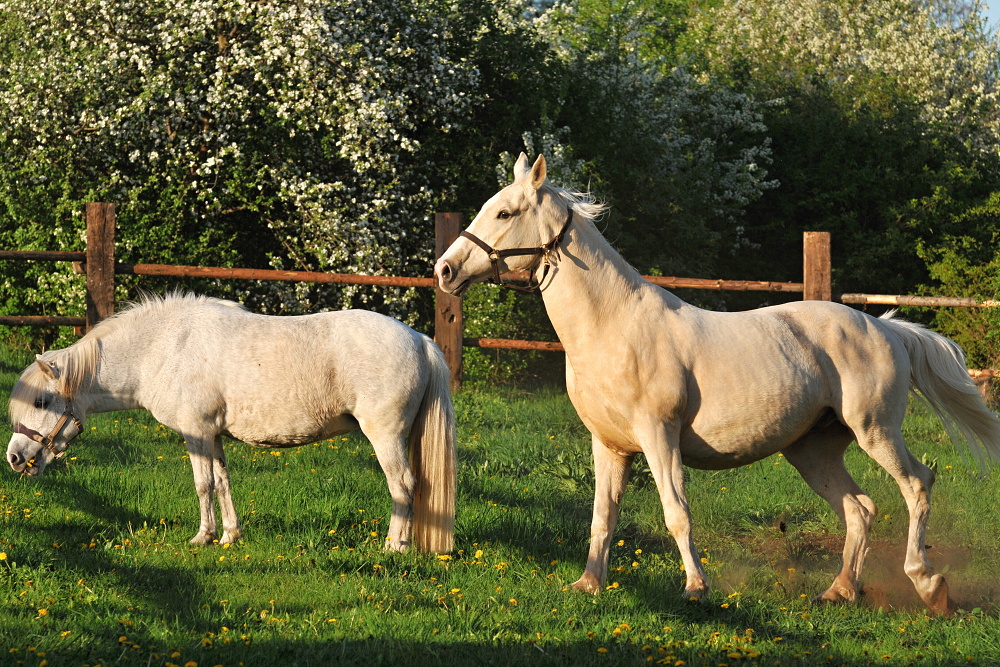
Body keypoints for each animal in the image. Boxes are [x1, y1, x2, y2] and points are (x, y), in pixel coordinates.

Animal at [4, 294, 454, 552]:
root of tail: (420, 339)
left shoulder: (196, 432)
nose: (14, 457)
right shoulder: (213, 435)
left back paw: (395, 547)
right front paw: (229, 536)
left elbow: (202, 484)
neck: (162, 349)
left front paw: (202, 537)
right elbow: (222, 482)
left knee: (403, 486)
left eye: (42, 401)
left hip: (386, 437)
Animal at [436, 154, 1000, 612]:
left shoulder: (659, 437)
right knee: (860, 509)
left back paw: (929, 585)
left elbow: (676, 513)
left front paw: (695, 588)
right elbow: (602, 516)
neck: (612, 325)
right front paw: (588, 584)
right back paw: (839, 591)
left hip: (876, 431)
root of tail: (884, 327)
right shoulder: (609, 445)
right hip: (812, 450)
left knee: (916, 485)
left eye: (504, 213)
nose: (445, 270)